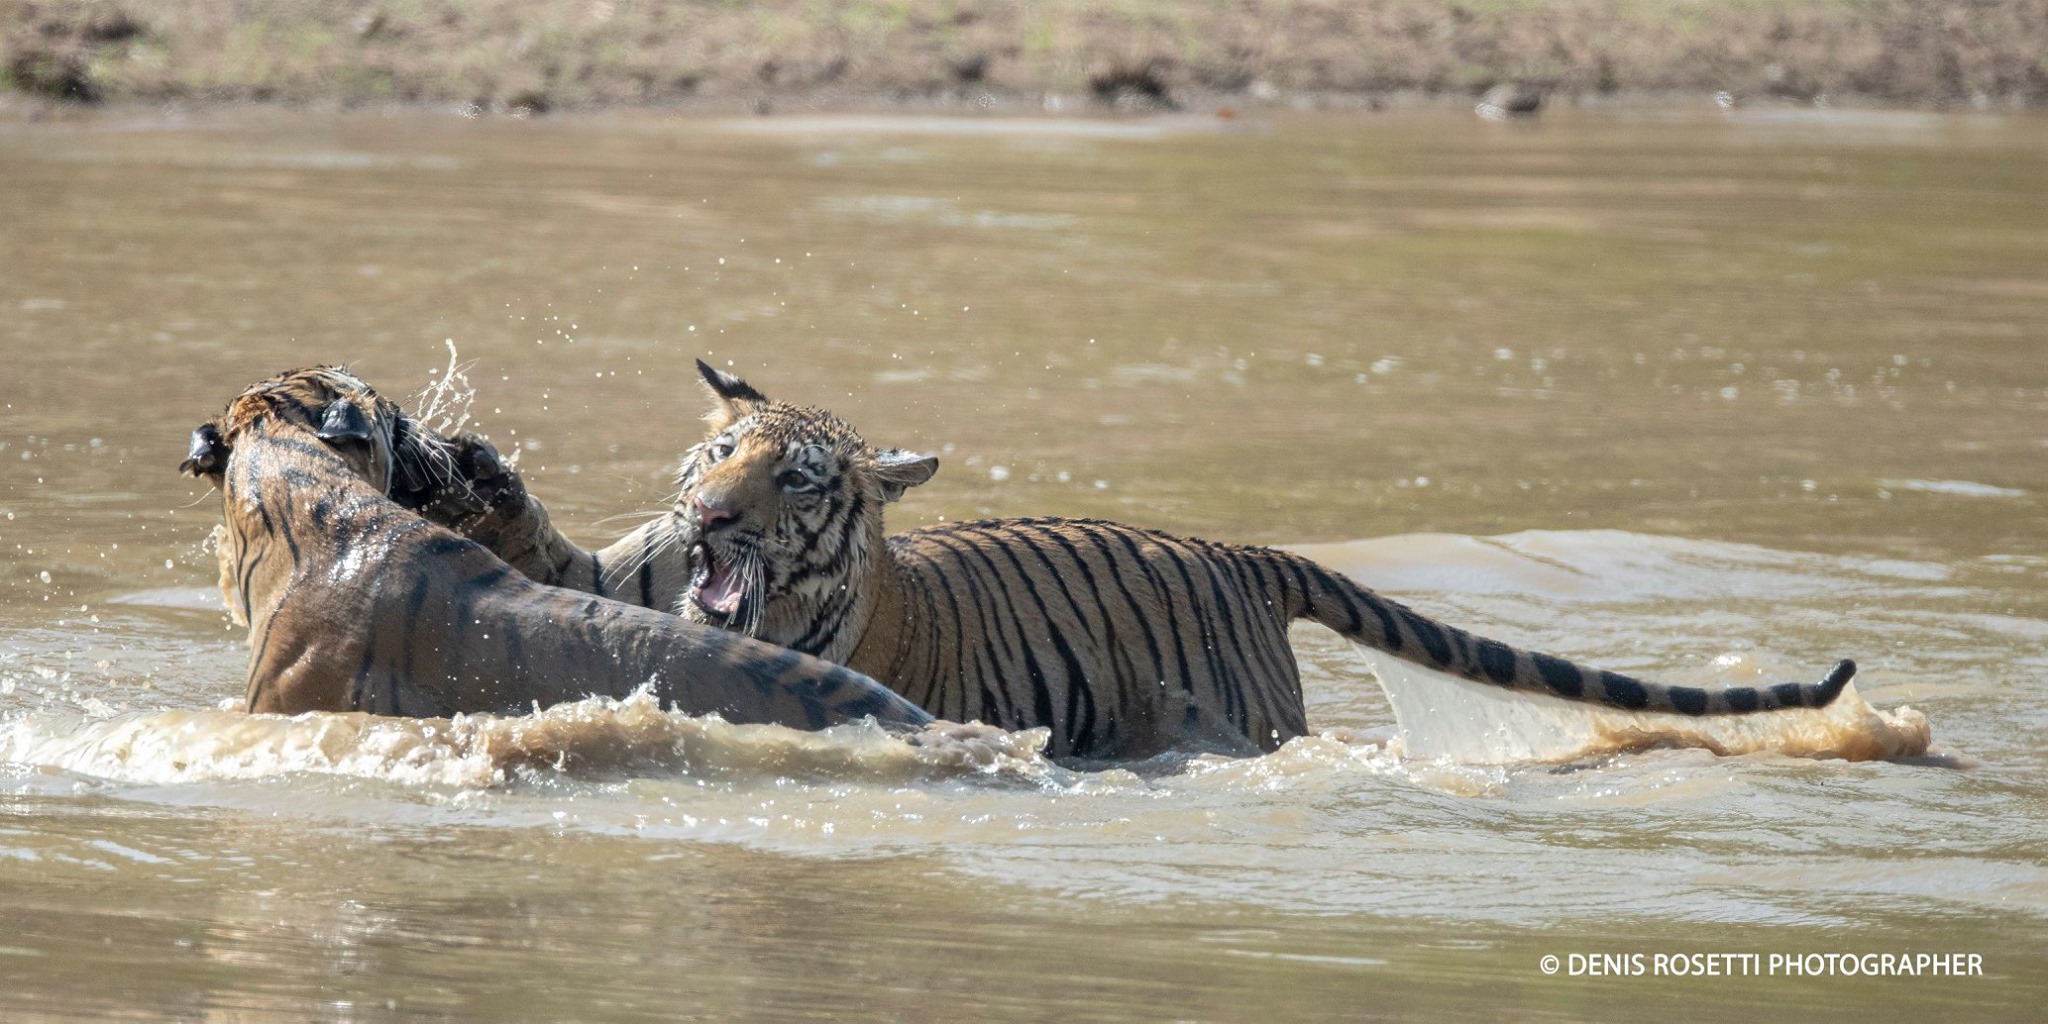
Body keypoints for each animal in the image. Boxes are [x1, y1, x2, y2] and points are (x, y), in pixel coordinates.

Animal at [400, 360, 1858, 760]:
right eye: (717, 454)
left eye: (795, 483)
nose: (711, 521)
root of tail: (1242, 549)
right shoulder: (619, 583)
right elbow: (556, 559)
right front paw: (470, 475)